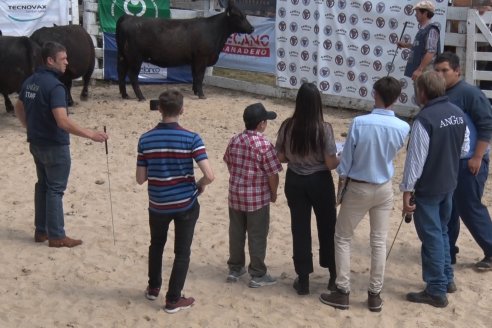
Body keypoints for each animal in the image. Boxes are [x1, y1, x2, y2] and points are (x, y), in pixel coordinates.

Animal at [116, 0, 254, 100]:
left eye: (245, 15)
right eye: (238, 16)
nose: (252, 28)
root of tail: (128, 17)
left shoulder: (195, 59)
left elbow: (194, 76)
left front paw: (195, 91)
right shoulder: (202, 58)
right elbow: (200, 76)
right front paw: (201, 95)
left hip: (123, 56)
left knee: (121, 74)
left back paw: (125, 95)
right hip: (135, 58)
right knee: (132, 76)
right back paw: (141, 97)